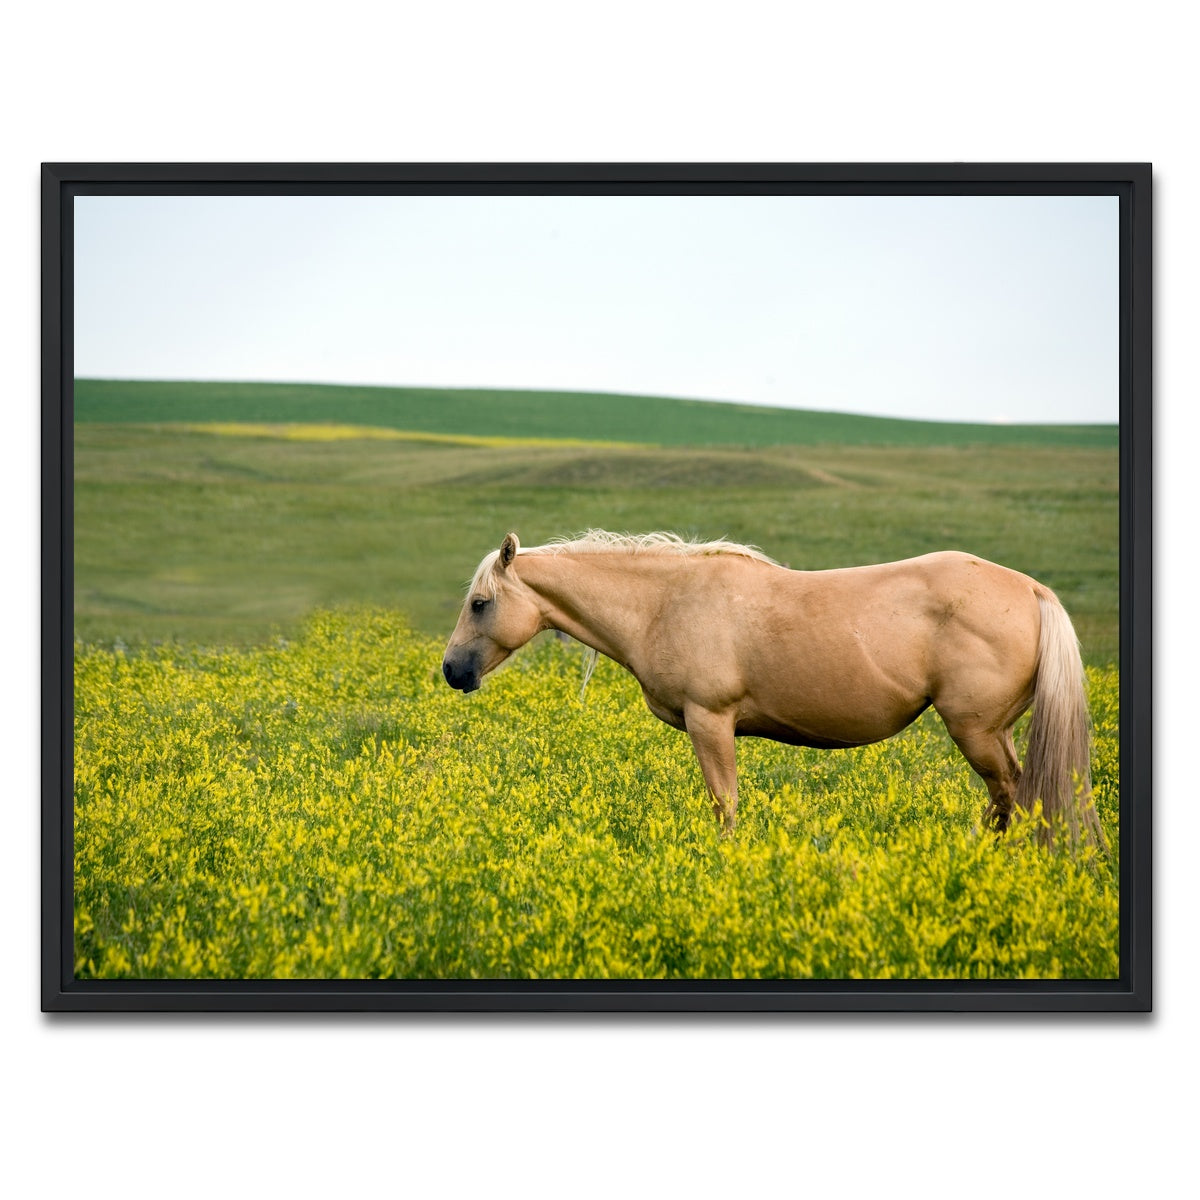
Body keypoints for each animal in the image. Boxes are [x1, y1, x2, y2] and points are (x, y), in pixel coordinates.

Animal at [442, 530, 1102, 848]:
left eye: (480, 604)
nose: (452, 671)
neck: (664, 602)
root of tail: (1031, 590)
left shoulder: (711, 722)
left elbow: (725, 805)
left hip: (977, 732)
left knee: (1013, 795)